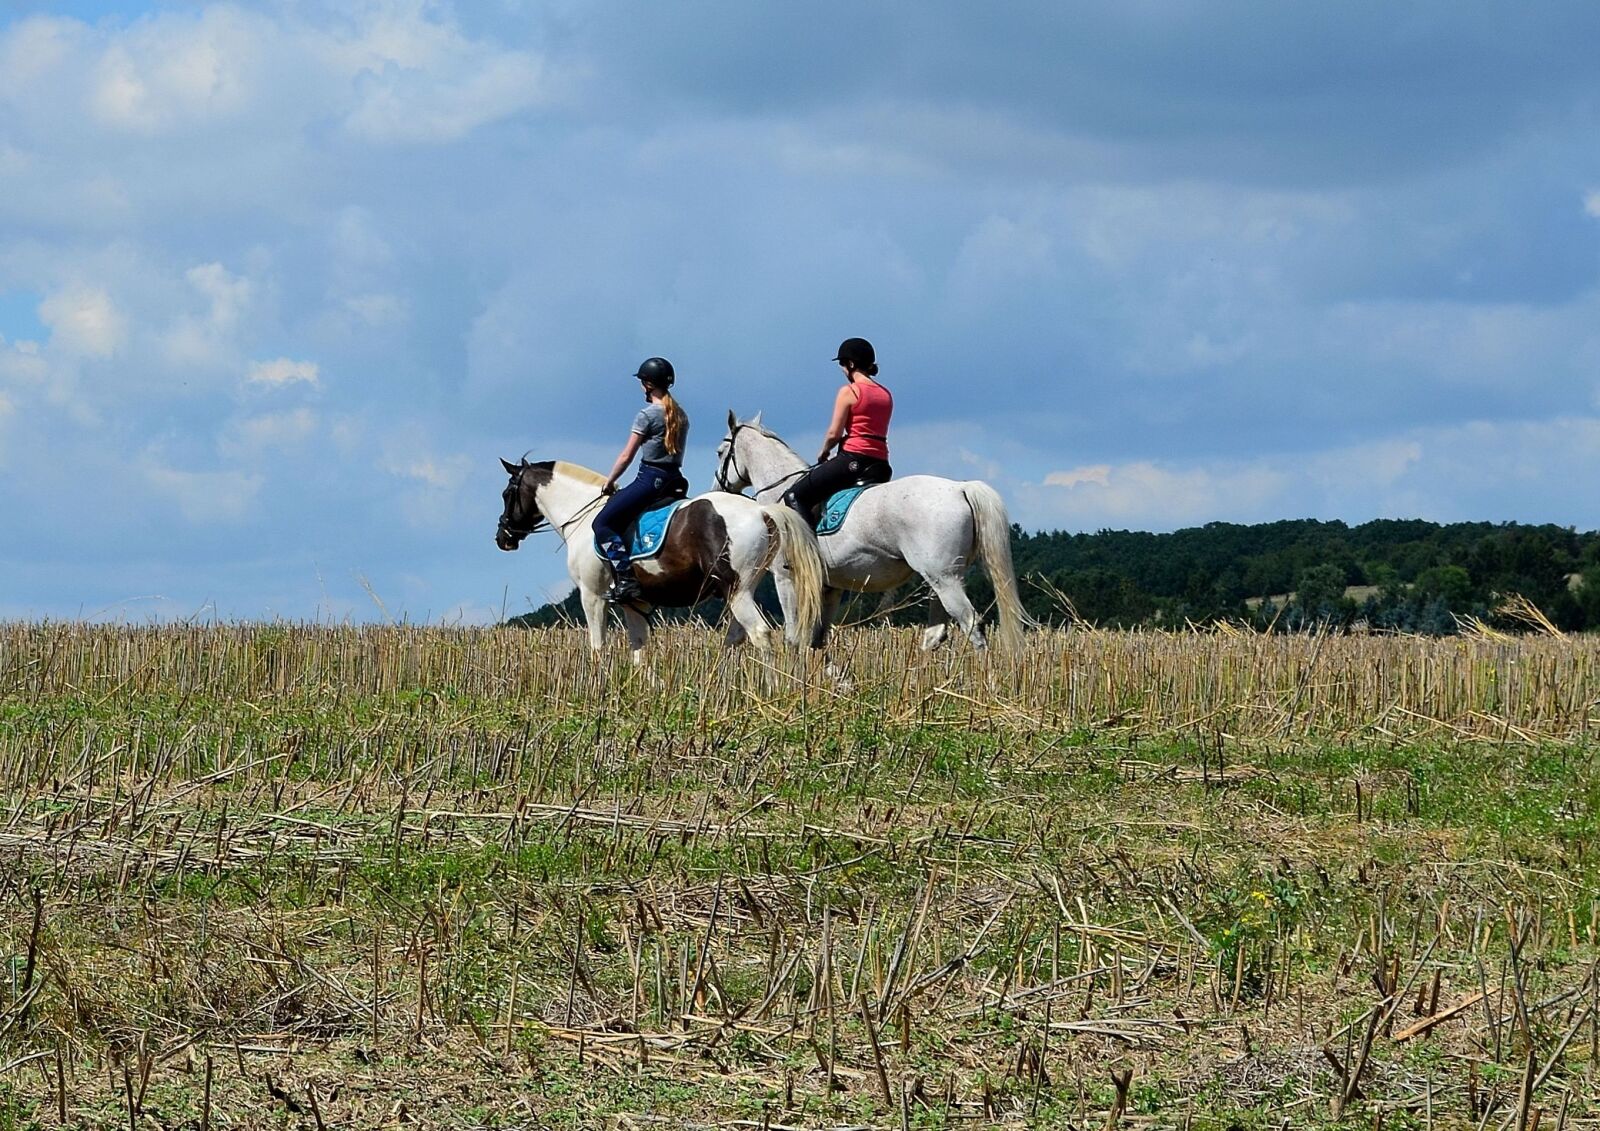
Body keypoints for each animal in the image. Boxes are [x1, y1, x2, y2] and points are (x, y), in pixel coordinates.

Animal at [496, 457, 826, 660]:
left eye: (506, 493)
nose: (503, 538)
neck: (584, 515)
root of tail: (761, 510)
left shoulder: (592, 595)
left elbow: (598, 646)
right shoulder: (634, 601)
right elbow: (639, 648)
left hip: (737, 590)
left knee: (759, 633)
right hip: (745, 588)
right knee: (736, 637)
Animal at [714, 413, 1032, 651]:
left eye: (719, 452)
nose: (718, 486)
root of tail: (960, 487)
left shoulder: (785, 577)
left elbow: (794, 638)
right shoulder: (830, 587)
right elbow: (817, 639)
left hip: (945, 579)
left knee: (972, 624)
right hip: (942, 579)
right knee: (936, 634)